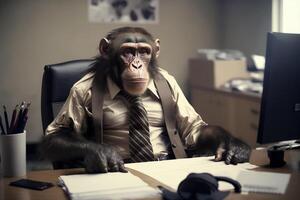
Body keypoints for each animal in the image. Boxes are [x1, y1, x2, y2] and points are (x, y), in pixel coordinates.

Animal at [40, 26, 251, 173]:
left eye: (144, 52)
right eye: (127, 52)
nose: (137, 64)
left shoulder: (172, 83)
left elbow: (194, 128)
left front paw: (234, 146)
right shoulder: (79, 89)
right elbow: (58, 133)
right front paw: (103, 153)